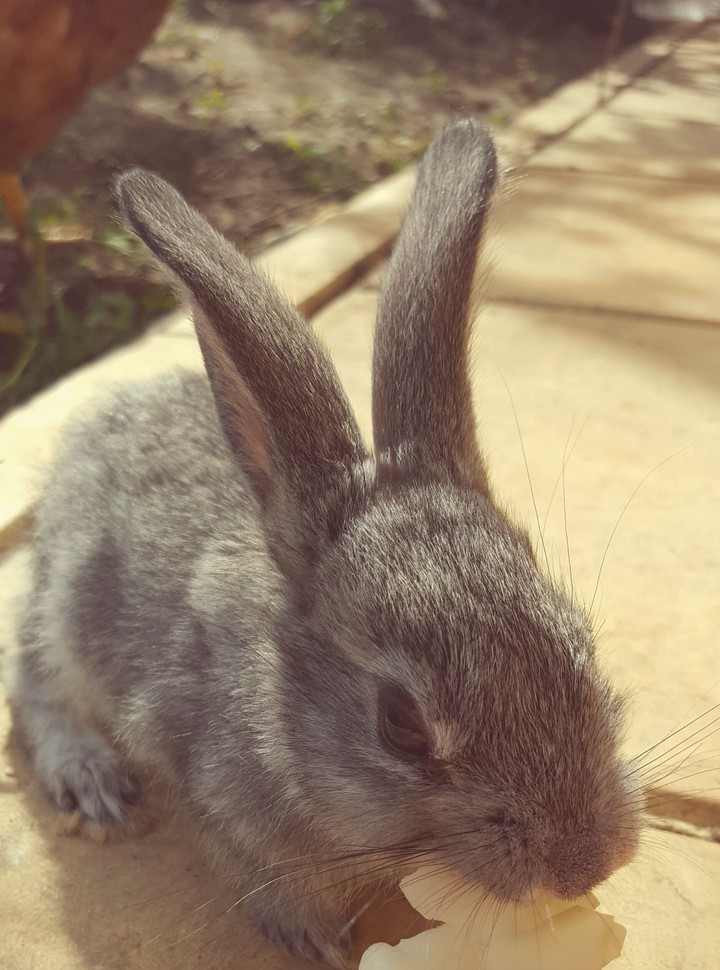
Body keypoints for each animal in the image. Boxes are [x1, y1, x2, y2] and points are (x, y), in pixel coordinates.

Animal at [5, 119, 643, 968]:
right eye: (400, 725)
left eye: (583, 644)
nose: (585, 863)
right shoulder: (223, 802)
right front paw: (319, 943)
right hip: (64, 613)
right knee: (30, 682)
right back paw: (91, 781)